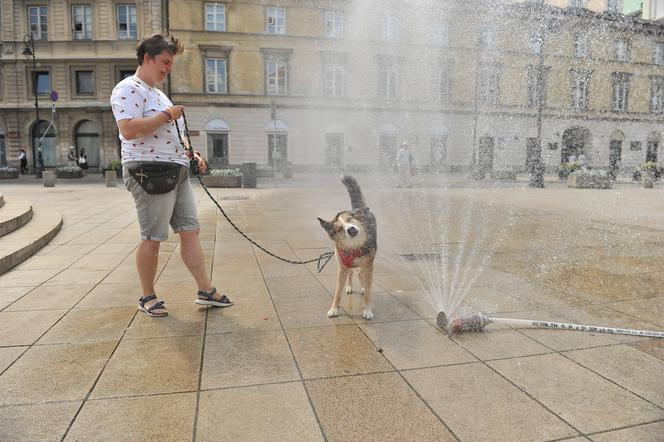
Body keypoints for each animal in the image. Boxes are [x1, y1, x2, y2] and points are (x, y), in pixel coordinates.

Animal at [318, 174, 376, 320]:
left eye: (350, 220)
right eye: (339, 229)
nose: (351, 229)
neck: (353, 246)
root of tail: (359, 208)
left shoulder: (368, 265)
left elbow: (368, 290)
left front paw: (367, 310)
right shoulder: (342, 266)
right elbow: (337, 291)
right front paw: (334, 309)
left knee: (361, 274)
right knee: (351, 272)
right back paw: (349, 286)